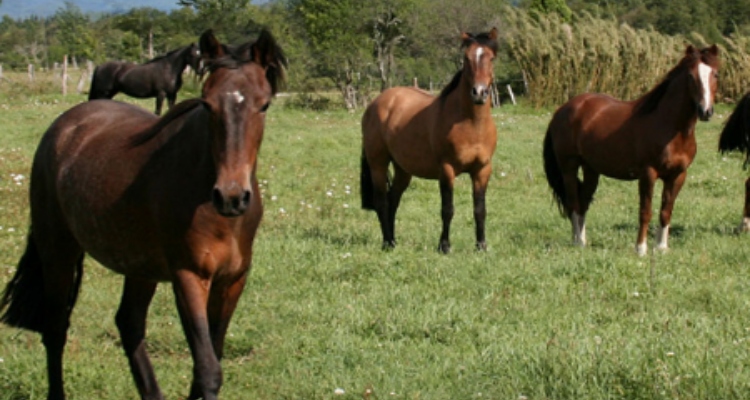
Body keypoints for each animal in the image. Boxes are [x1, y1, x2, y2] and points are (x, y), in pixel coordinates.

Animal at [0, 28, 286, 400]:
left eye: (263, 104)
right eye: (207, 103)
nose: (231, 196)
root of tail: (63, 126)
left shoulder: (233, 280)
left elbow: (210, 360)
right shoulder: (188, 276)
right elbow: (208, 369)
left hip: (140, 265)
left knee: (129, 323)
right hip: (58, 252)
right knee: (56, 329)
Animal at [362, 27, 500, 253]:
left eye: (491, 58)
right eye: (466, 58)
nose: (479, 93)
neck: (471, 124)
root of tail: (377, 102)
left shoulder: (482, 170)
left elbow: (480, 209)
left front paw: (481, 246)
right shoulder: (446, 169)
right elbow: (447, 209)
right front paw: (444, 246)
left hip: (403, 170)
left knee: (393, 200)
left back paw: (393, 240)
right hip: (378, 164)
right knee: (382, 201)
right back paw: (387, 243)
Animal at [548, 44, 724, 256]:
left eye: (715, 74)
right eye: (691, 76)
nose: (705, 111)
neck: (671, 127)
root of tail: (563, 109)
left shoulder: (678, 175)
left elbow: (666, 211)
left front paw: (661, 247)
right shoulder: (648, 174)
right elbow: (645, 212)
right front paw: (641, 248)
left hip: (591, 170)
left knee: (583, 203)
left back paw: (582, 240)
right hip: (569, 168)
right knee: (574, 202)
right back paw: (577, 243)